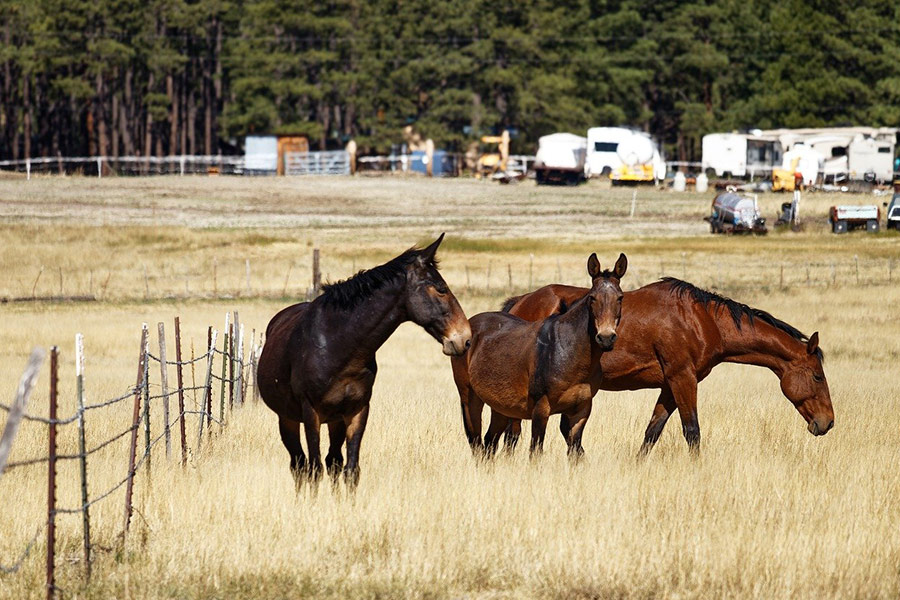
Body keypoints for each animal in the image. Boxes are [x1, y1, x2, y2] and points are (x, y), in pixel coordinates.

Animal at [257, 234, 471, 487]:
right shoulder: (311, 413)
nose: (465, 339)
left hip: (335, 421)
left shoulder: (356, 411)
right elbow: (315, 469)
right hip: (287, 418)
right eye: (441, 289)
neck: (339, 346)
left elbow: (350, 469)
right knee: (300, 465)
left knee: (333, 461)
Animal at [450, 253, 627, 457]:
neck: (567, 351)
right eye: (592, 298)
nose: (606, 338)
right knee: (477, 442)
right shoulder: (541, 409)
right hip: (469, 398)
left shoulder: (581, 411)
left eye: (620, 298)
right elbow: (536, 451)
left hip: (500, 407)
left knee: (489, 442)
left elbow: (575, 450)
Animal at [496, 277, 834, 454]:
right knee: (513, 435)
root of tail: (520, 302)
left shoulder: (670, 385)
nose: (828, 422)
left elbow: (652, 432)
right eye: (818, 376)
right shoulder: (683, 379)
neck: (702, 319)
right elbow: (692, 431)